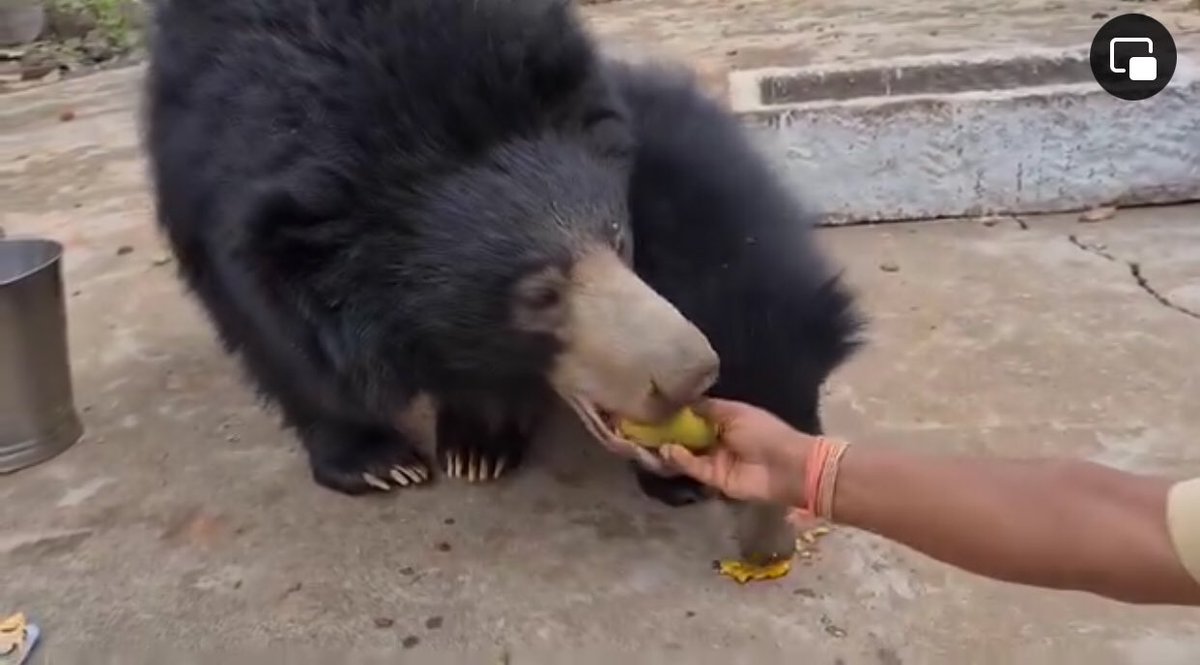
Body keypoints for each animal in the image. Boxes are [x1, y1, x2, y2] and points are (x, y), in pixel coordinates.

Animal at [142, 0, 864, 501]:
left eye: (617, 236)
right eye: (538, 294)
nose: (693, 371)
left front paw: (477, 445)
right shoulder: (209, 178)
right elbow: (275, 336)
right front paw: (380, 463)